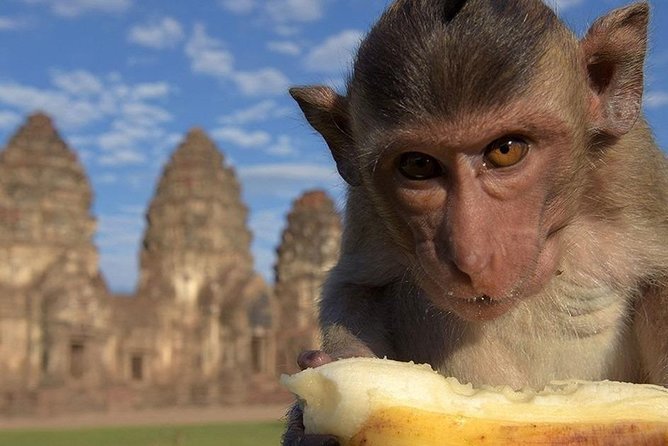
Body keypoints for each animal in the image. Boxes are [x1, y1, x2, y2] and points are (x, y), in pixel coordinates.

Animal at [282, 0, 668, 445]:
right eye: (418, 165)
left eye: (506, 150)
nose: (471, 256)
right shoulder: (366, 205)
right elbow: (358, 286)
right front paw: (313, 421)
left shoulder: (634, 167)